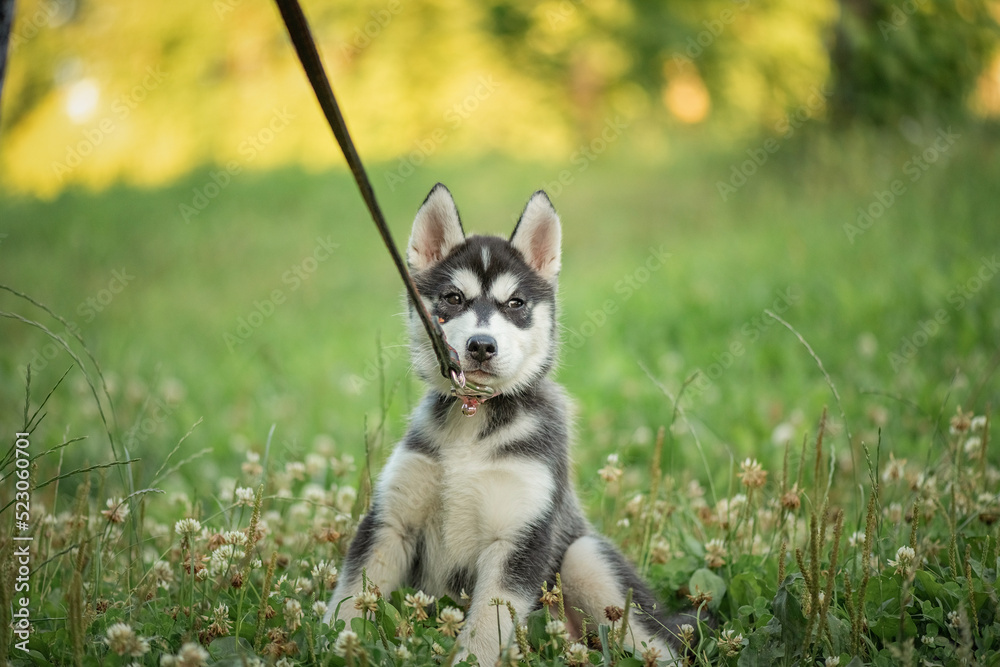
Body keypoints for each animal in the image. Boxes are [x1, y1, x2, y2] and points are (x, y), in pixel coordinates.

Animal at [326, 184, 696, 664]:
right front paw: (329, 645)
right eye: (453, 298)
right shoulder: (391, 522)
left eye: (515, 303)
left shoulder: (519, 539)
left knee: (662, 646)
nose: (481, 345)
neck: (472, 423)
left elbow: (487, 626)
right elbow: (351, 597)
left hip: (585, 559)